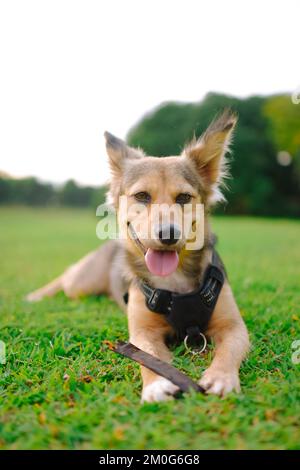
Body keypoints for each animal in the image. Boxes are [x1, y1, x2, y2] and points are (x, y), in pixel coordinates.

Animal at [27, 111, 248, 404]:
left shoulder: (234, 326)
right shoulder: (142, 332)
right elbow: (148, 357)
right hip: (80, 285)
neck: (174, 283)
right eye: (142, 196)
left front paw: (221, 377)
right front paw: (156, 384)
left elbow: (230, 349)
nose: (168, 234)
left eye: (184, 197)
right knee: (67, 276)